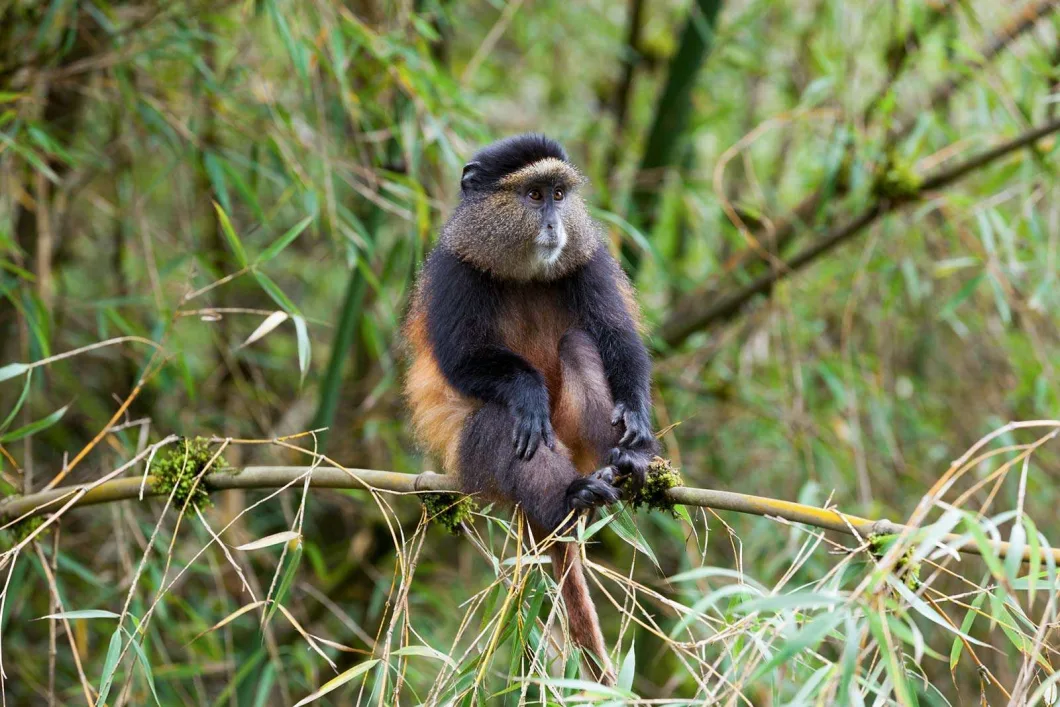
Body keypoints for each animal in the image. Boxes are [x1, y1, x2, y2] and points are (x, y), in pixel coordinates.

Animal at [403, 134, 657, 684]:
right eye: (534, 196)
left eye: (559, 194)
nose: (555, 224)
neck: (521, 270)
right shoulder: (454, 272)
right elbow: (461, 360)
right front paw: (526, 392)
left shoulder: (589, 259)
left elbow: (617, 337)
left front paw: (637, 422)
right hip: (476, 458)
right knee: (505, 426)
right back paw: (568, 499)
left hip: (576, 437)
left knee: (580, 343)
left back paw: (622, 466)